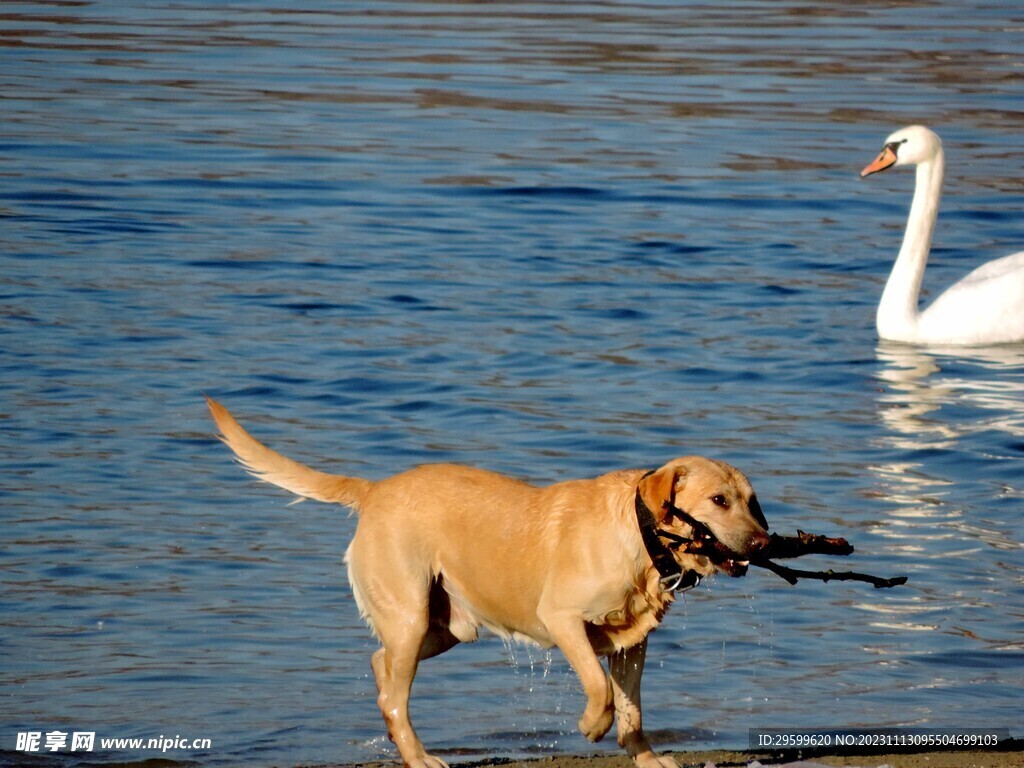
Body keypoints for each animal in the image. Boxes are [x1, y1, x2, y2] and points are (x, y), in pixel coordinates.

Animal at [207, 399, 770, 765]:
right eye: (719, 500)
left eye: (751, 501)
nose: (764, 541)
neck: (641, 535)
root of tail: (374, 490)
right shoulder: (563, 620)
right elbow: (600, 689)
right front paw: (591, 725)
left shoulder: (632, 644)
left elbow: (632, 711)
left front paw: (648, 759)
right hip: (412, 615)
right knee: (393, 694)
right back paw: (420, 757)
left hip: (443, 627)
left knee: (380, 666)